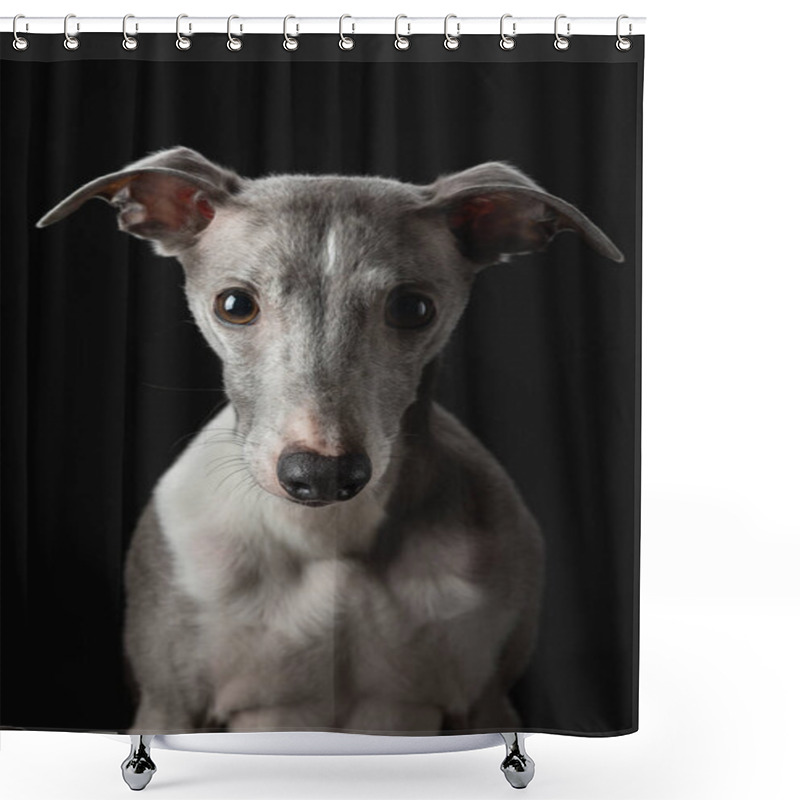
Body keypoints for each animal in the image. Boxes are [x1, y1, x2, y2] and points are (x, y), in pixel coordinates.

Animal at [37, 147, 624, 736]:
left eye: (413, 309)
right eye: (234, 304)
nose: (321, 475)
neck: (324, 537)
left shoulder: (485, 699)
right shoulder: (169, 703)